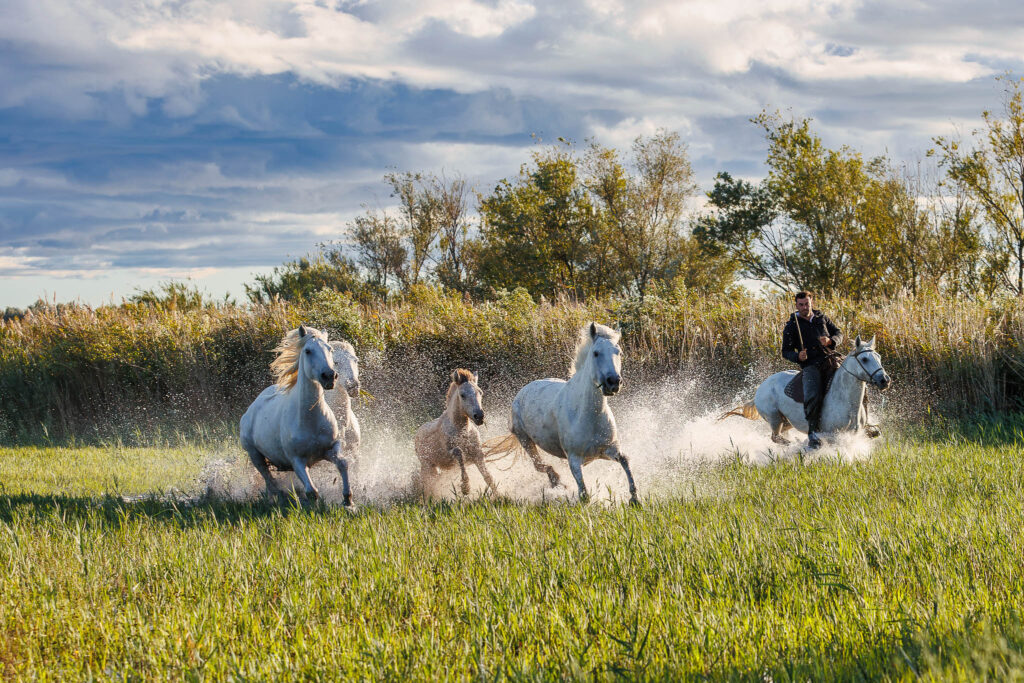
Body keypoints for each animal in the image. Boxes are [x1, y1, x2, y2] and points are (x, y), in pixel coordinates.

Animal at [239, 325, 353, 505]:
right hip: (254, 455)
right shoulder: (296, 461)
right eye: (308, 351)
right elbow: (312, 491)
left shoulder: (330, 448)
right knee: (270, 480)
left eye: (330, 349)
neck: (310, 419)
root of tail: (251, 409)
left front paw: (348, 499)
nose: (329, 376)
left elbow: (343, 463)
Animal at [414, 369, 496, 497]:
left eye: (480, 392)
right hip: (428, 466)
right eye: (462, 395)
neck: (462, 431)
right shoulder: (449, 455)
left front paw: (501, 496)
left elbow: (488, 477)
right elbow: (459, 453)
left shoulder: (478, 454)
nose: (479, 416)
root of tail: (417, 434)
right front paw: (465, 487)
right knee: (429, 485)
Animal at [486, 322, 639, 505]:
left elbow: (626, 460)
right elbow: (584, 495)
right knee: (540, 466)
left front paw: (634, 499)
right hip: (525, 439)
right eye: (596, 353)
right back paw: (557, 482)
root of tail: (522, 391)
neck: (589, 415)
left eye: (619, 352)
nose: (613, 382)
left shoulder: (609, 450)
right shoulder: (574, 459)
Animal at [721, 335, 891, 445]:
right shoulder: (833, 436)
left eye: (878, 357)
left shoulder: (855, 434)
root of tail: (762, 386)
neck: (847, 402)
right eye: (864, 359)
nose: (885, 380)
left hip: (786, 421)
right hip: (774, 418)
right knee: (776, 438)